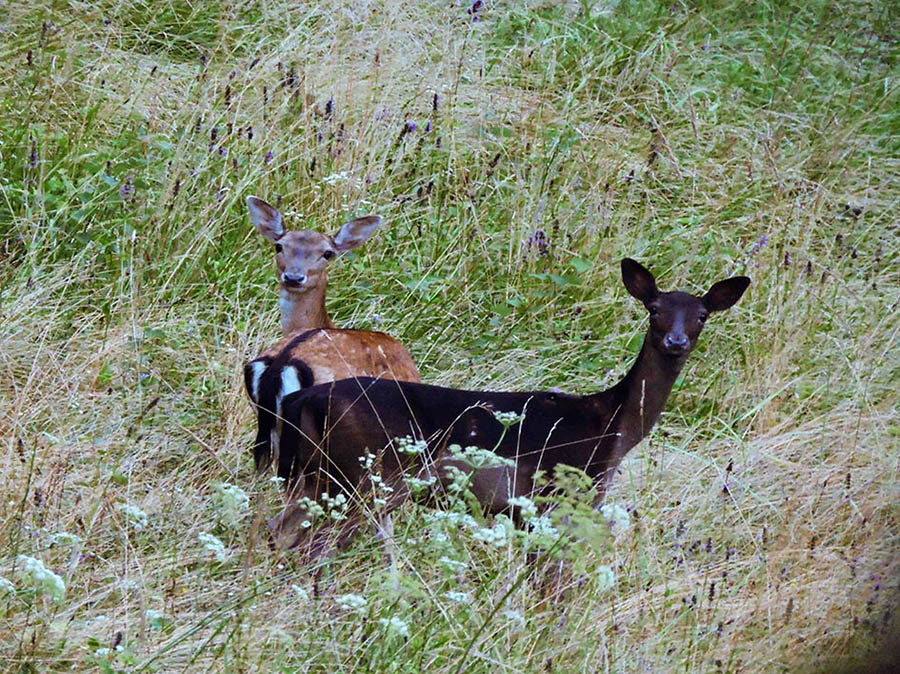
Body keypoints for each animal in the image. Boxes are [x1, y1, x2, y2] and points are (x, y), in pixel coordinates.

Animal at [270, 258, 748, 552]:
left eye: (702, 315)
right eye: (653, 308)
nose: (676, 341)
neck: (612, 426)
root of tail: (303, 396)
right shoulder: (564, 498)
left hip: (316, 475)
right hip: (369, 475)